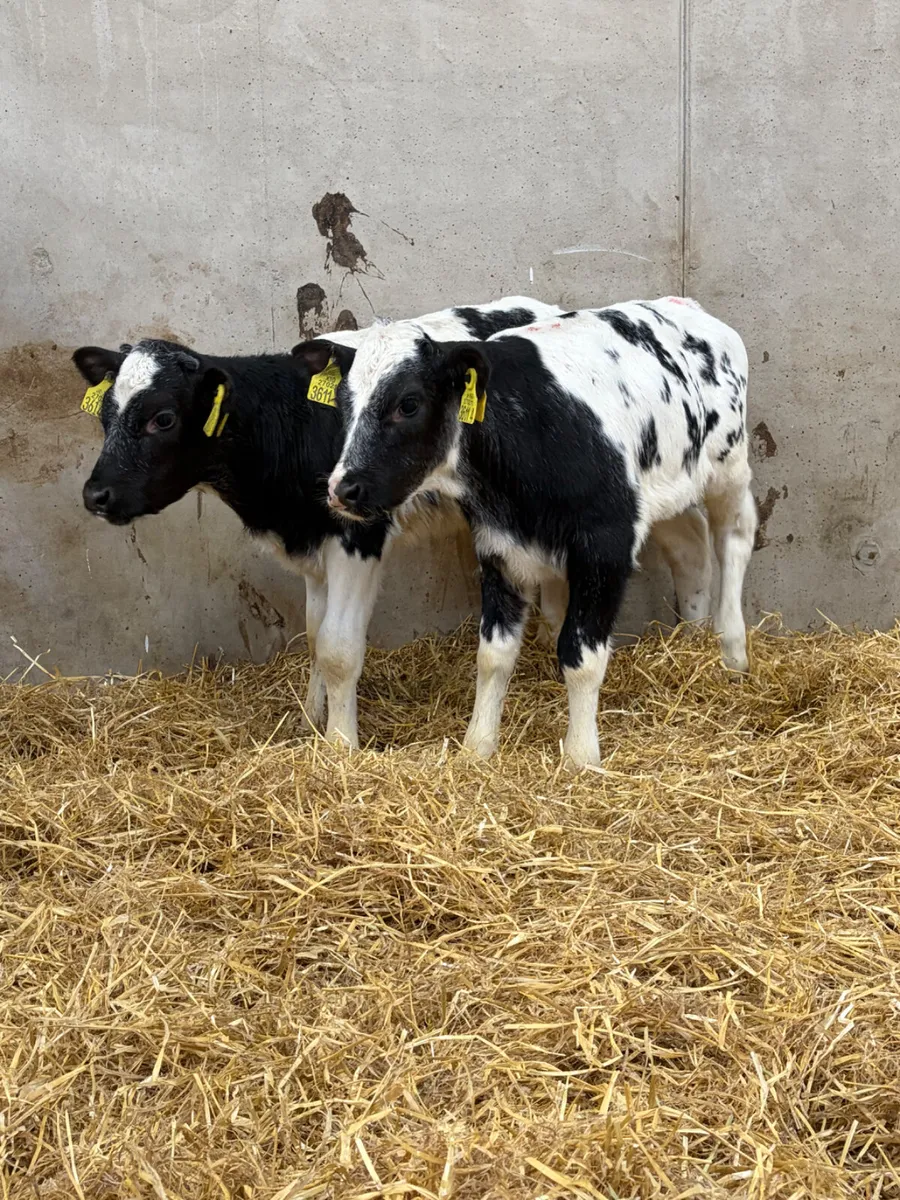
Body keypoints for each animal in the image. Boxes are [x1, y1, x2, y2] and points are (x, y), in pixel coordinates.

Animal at [72, 296, 565, 748]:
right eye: (105, 415)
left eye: (163, 418)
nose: (95, 495)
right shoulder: (311, 543)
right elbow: (313, 634)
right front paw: (311, 715)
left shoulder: (357, 538)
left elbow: (338, 649)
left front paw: (339, 743)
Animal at [301, 297, 756, 768]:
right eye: (344, 402)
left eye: (408, 404)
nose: (342, 488)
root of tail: (685, 304)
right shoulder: (499, 548)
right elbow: (493, 655)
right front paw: (477, 747)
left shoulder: (605, 548)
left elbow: (581, 657)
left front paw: (581, 757)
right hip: (668, 487)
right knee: (691, 546)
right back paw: (694, 637)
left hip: (729, 468)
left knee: (734, 540)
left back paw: (731, 650)